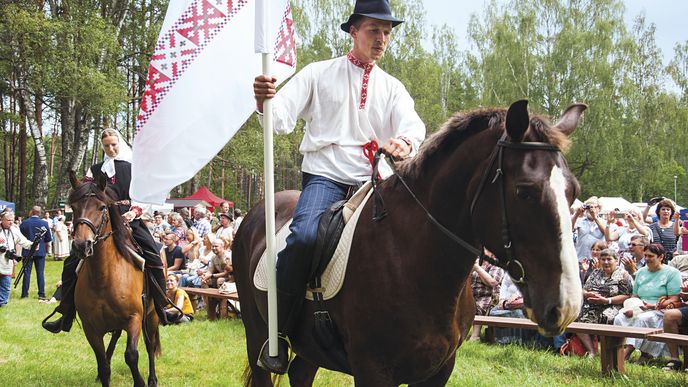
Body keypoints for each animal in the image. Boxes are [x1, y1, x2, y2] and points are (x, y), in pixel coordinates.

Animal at [69, 174, 163, 387]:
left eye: (102, 207)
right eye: (73, 207)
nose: (81, 245)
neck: (103, 278)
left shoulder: (134, 318)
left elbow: (131, 355)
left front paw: (141, 382)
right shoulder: (90, 328)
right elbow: (103, 366)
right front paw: (103, 372)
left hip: (152, 316)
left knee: (150, 345)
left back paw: (153, 379)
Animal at [235, 101, 584, 386]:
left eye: (574, 192)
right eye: (524, 191)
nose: (565, 306)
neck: (413, 260)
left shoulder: (438, 372)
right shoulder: (373, 371)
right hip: (257, 336)